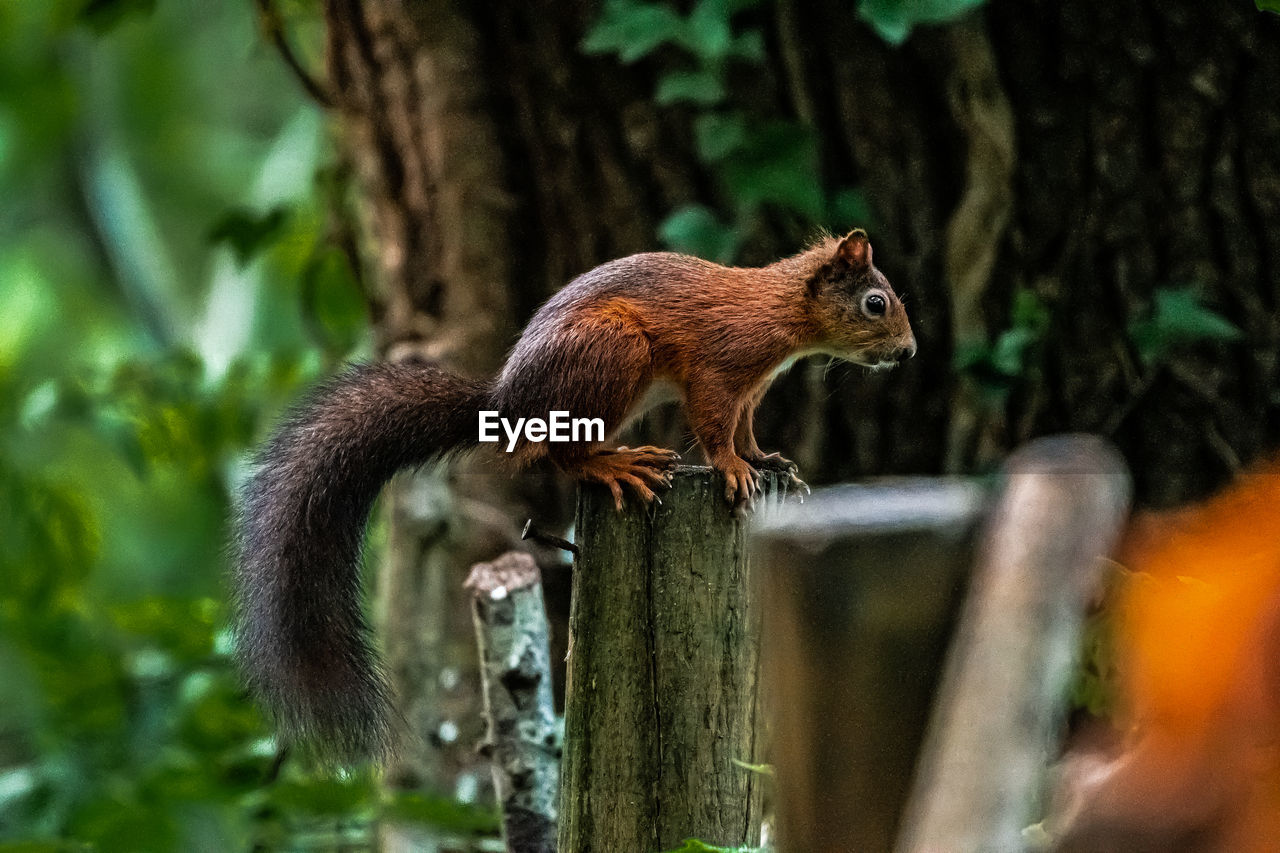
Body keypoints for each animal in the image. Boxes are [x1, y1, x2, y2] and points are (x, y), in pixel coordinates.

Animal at [235, 225, 916, 758]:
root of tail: (508, 404)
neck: (779, 310)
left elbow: (745, 430)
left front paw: (767, 461)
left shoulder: (752, 388)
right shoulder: (718, 369)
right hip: (613, 352)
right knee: (562, 455)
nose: (908, 352)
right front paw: (731, 469)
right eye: (875, 303)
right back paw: (618, 466)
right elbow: (715, 427)